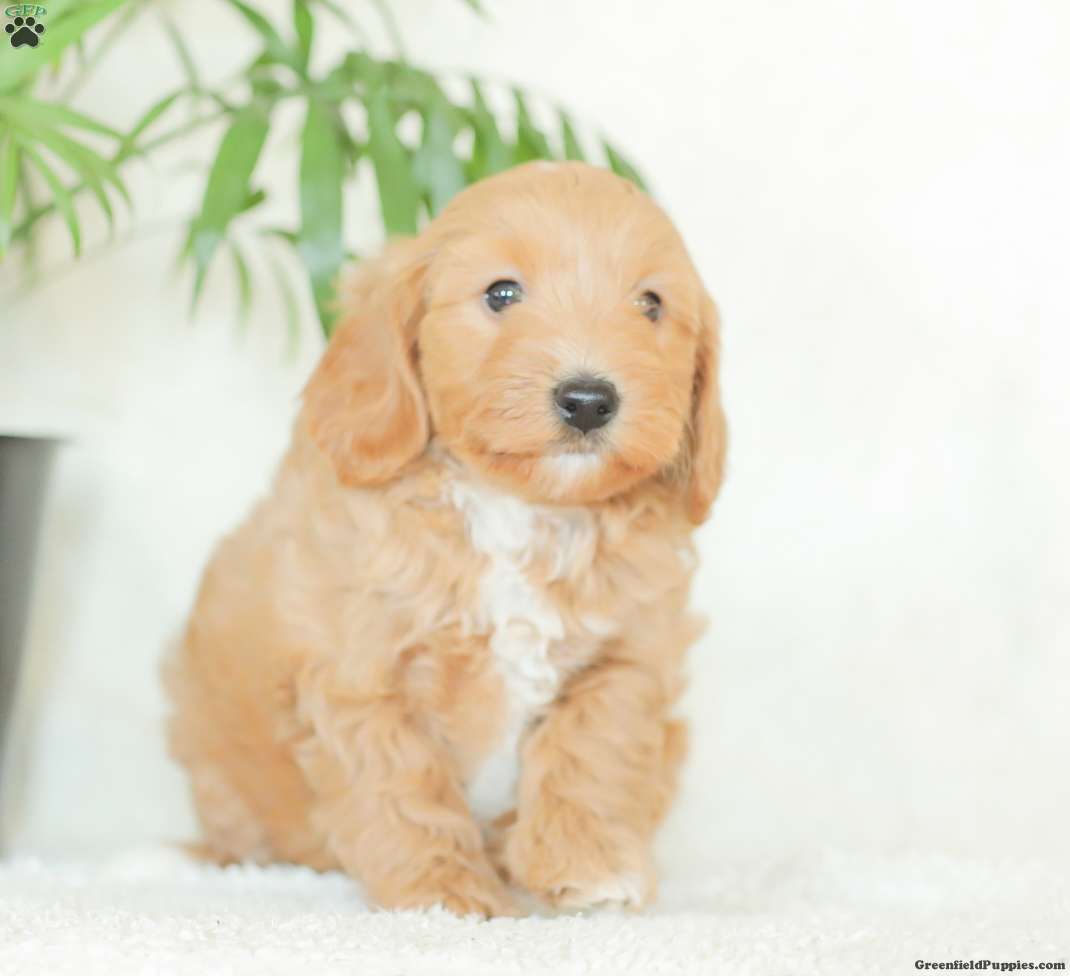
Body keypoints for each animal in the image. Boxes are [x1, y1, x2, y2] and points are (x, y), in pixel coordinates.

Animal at [165, 161, 727, 916]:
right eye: (502, 293)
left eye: (650, 305)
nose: (588, 400)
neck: (520, 509)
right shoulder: (364, 672)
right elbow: (405, 787)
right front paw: (445, 893)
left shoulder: (628, 656)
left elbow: (594, 752)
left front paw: (589, 867)